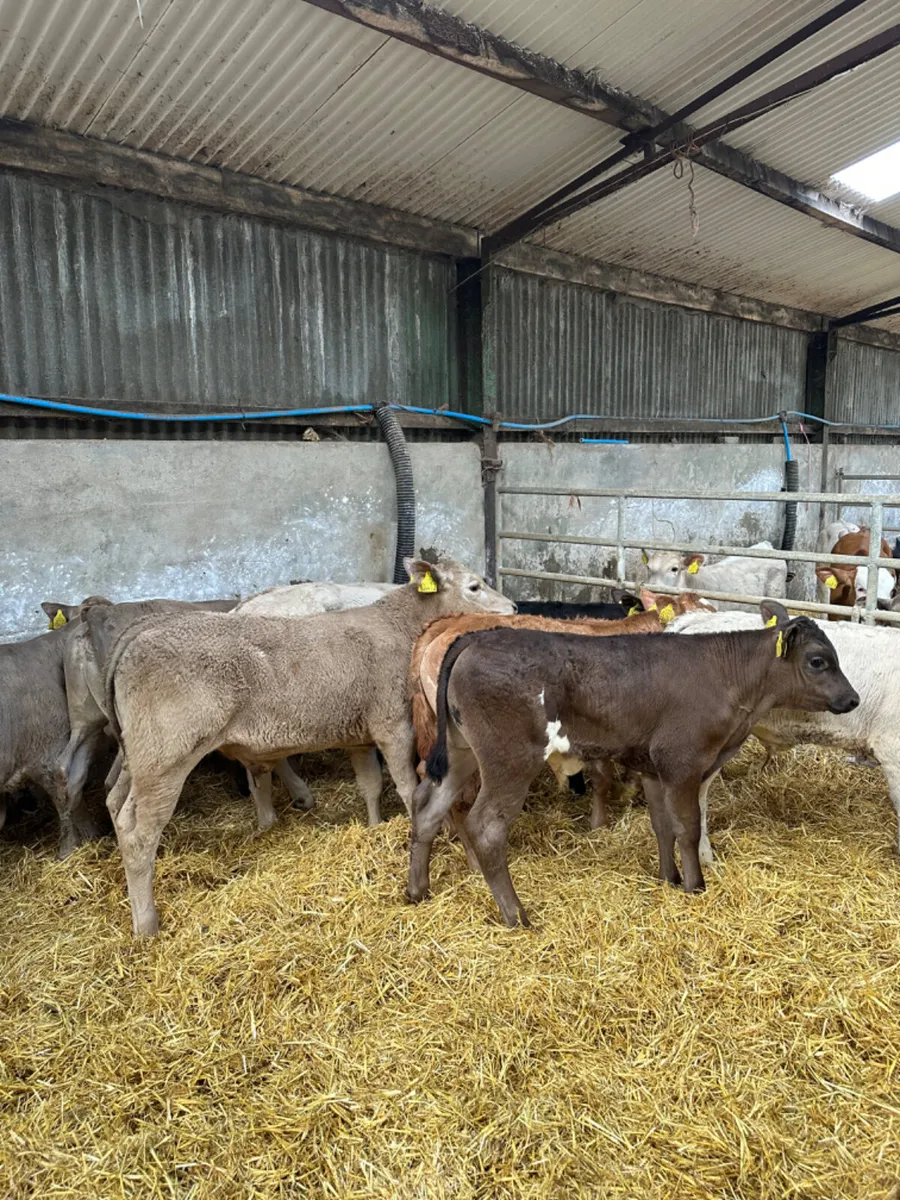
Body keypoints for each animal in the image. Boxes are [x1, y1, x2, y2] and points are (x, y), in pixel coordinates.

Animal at [101, 558, 512, 935]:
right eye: (475, 586)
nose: (512, 608)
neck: (399, 624)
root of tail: (138, 637)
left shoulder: (359, 734)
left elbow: (370, 785)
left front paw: (374, 828)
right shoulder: (393, 726)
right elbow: (409, 789)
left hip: (138, 759)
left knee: (115, 806)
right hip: (166, 760)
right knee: (139, 834)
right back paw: (146, 924)